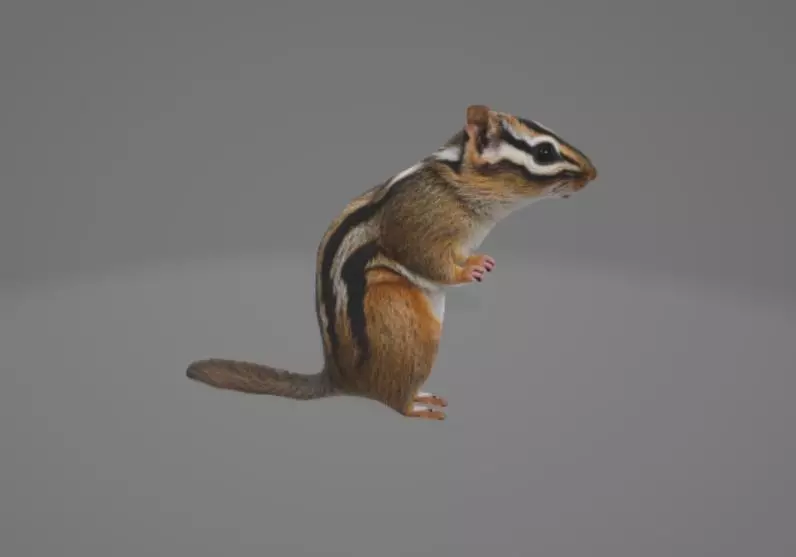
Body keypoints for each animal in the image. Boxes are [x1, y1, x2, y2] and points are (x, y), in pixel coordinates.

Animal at [185, 104, 597, 421]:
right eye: (544, 153)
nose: (593, 174)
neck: (457, 181)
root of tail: (339, 377)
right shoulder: (418, 226)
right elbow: (425, 259)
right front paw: (469, 269)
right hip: (403, 323)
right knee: (395, 401)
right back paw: (416, 406)